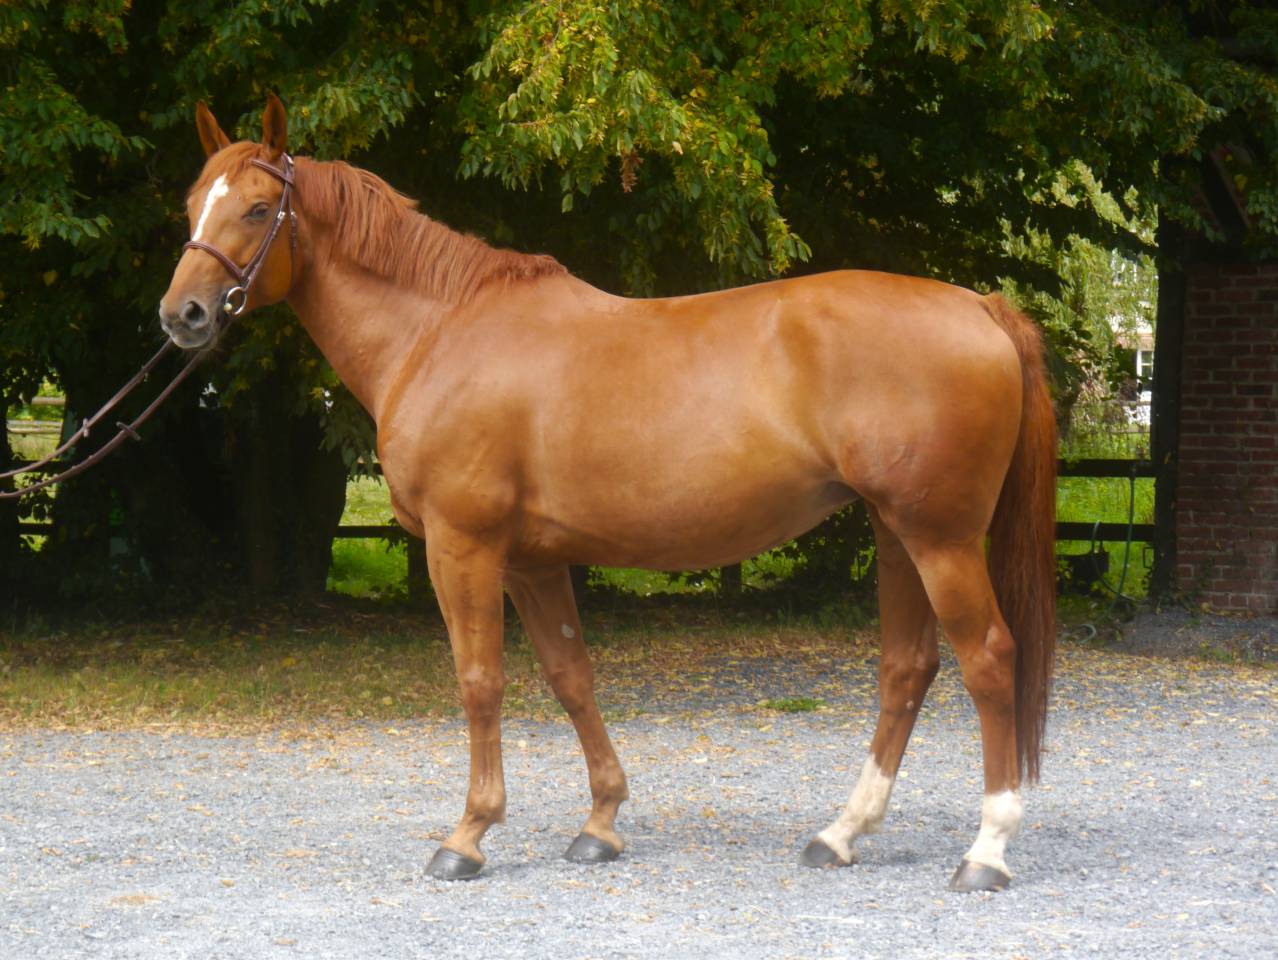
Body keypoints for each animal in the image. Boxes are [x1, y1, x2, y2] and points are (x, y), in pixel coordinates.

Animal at [159, 95, 1056, 892]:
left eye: (258, 208)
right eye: (193, 205)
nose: (184, 315)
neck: (439, 330)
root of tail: (981, 307)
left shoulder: (463, 546)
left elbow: (479, 680)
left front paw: (468, 835)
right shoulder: (531, 561)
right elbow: (570, 677)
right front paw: (600, 823)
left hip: (939, 538)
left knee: (988, 660)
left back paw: (987, 850)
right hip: (896, 533)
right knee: (908, 669)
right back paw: (842, 833)